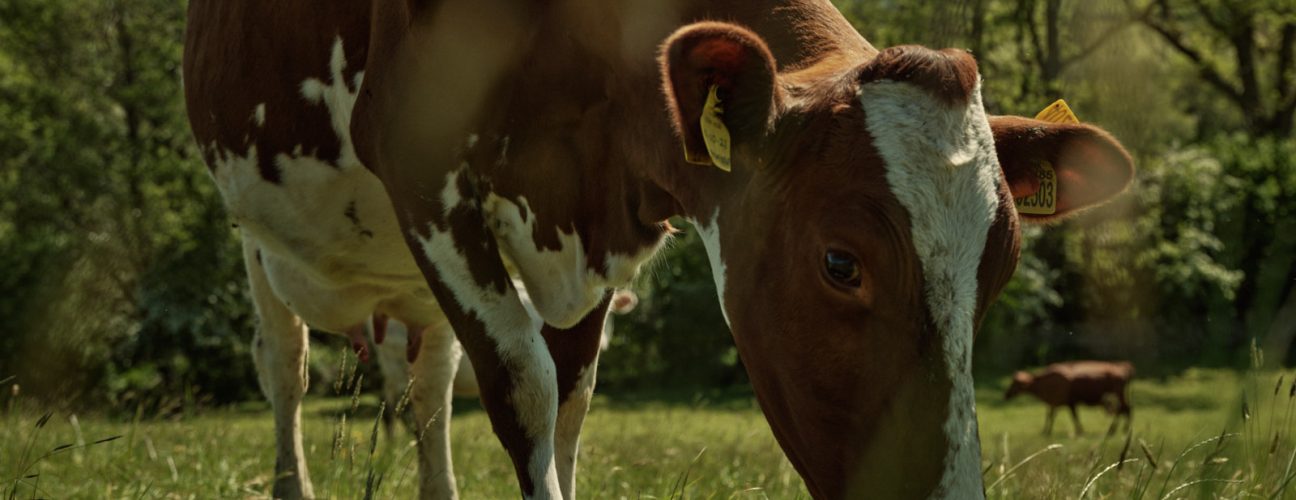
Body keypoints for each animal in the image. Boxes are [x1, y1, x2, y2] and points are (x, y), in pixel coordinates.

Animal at [1004, 361, 1135, 436]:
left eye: (1015, 383)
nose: (1006, 395)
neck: (1043, 384)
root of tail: (1124, 370)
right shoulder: (1054, 403)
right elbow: (1051, 417)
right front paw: (1046, 431)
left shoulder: (1068, 402)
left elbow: (1073, 417)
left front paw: (1079, 431)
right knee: (1123, 409)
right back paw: (1117, 429)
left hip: (1118, 394)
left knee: (1123, 409)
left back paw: (1118, 430)